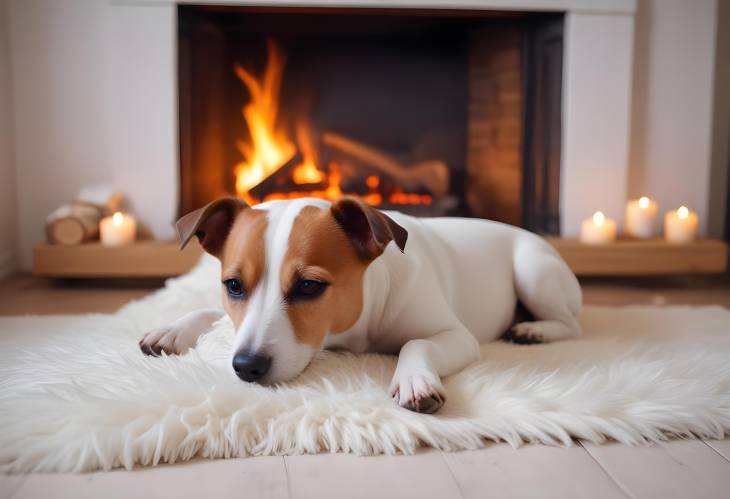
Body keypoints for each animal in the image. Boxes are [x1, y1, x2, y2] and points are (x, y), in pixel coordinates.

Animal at [138, 198, 580, 414]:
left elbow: (417, 343)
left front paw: (415, 380)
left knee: (570, 323)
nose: (246, 365)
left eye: (309, 286)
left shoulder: (457, 336)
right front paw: (172, 330)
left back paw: (534, 329)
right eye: (233, 285)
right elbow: (209, 313)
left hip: (533, 272)